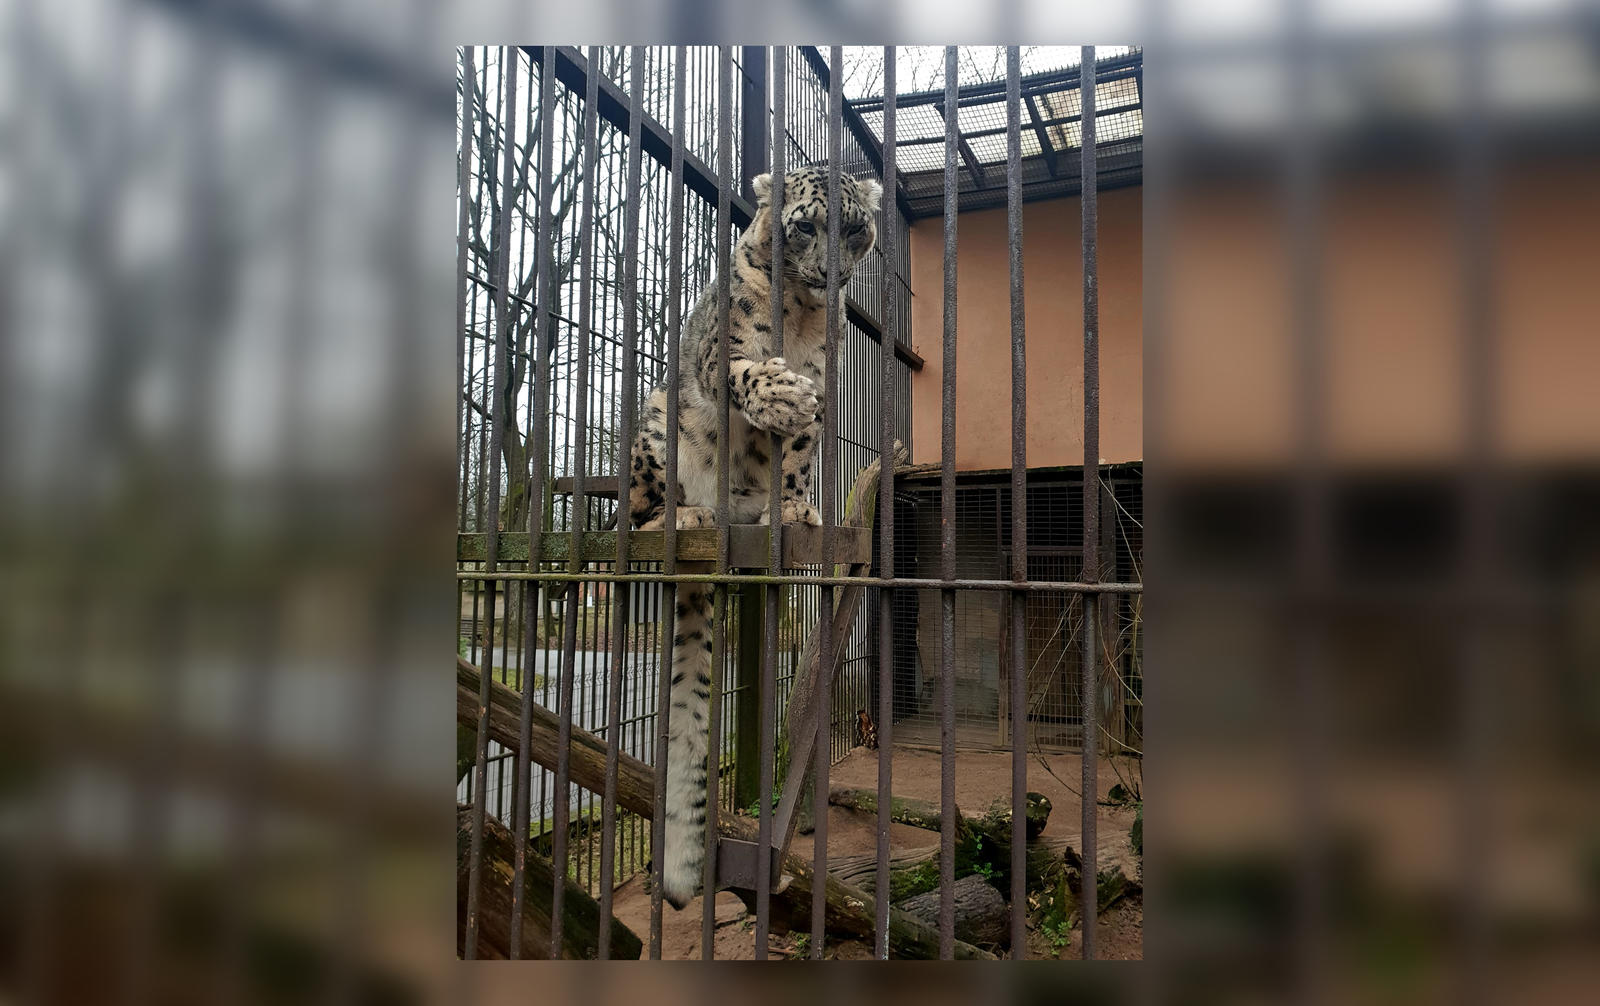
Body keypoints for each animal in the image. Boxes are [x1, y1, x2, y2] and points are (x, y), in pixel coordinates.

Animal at [624, 167, 883, 908]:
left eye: (855, 227)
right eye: (804, 225)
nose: (830, 272)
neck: (800, 314)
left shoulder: (823, 382)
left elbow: (794, 455)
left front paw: (793, 508)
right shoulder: (726, 352)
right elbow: (745, 372)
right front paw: (778, 392)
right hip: (656, 429)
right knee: (641, 502)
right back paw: (681, 517)